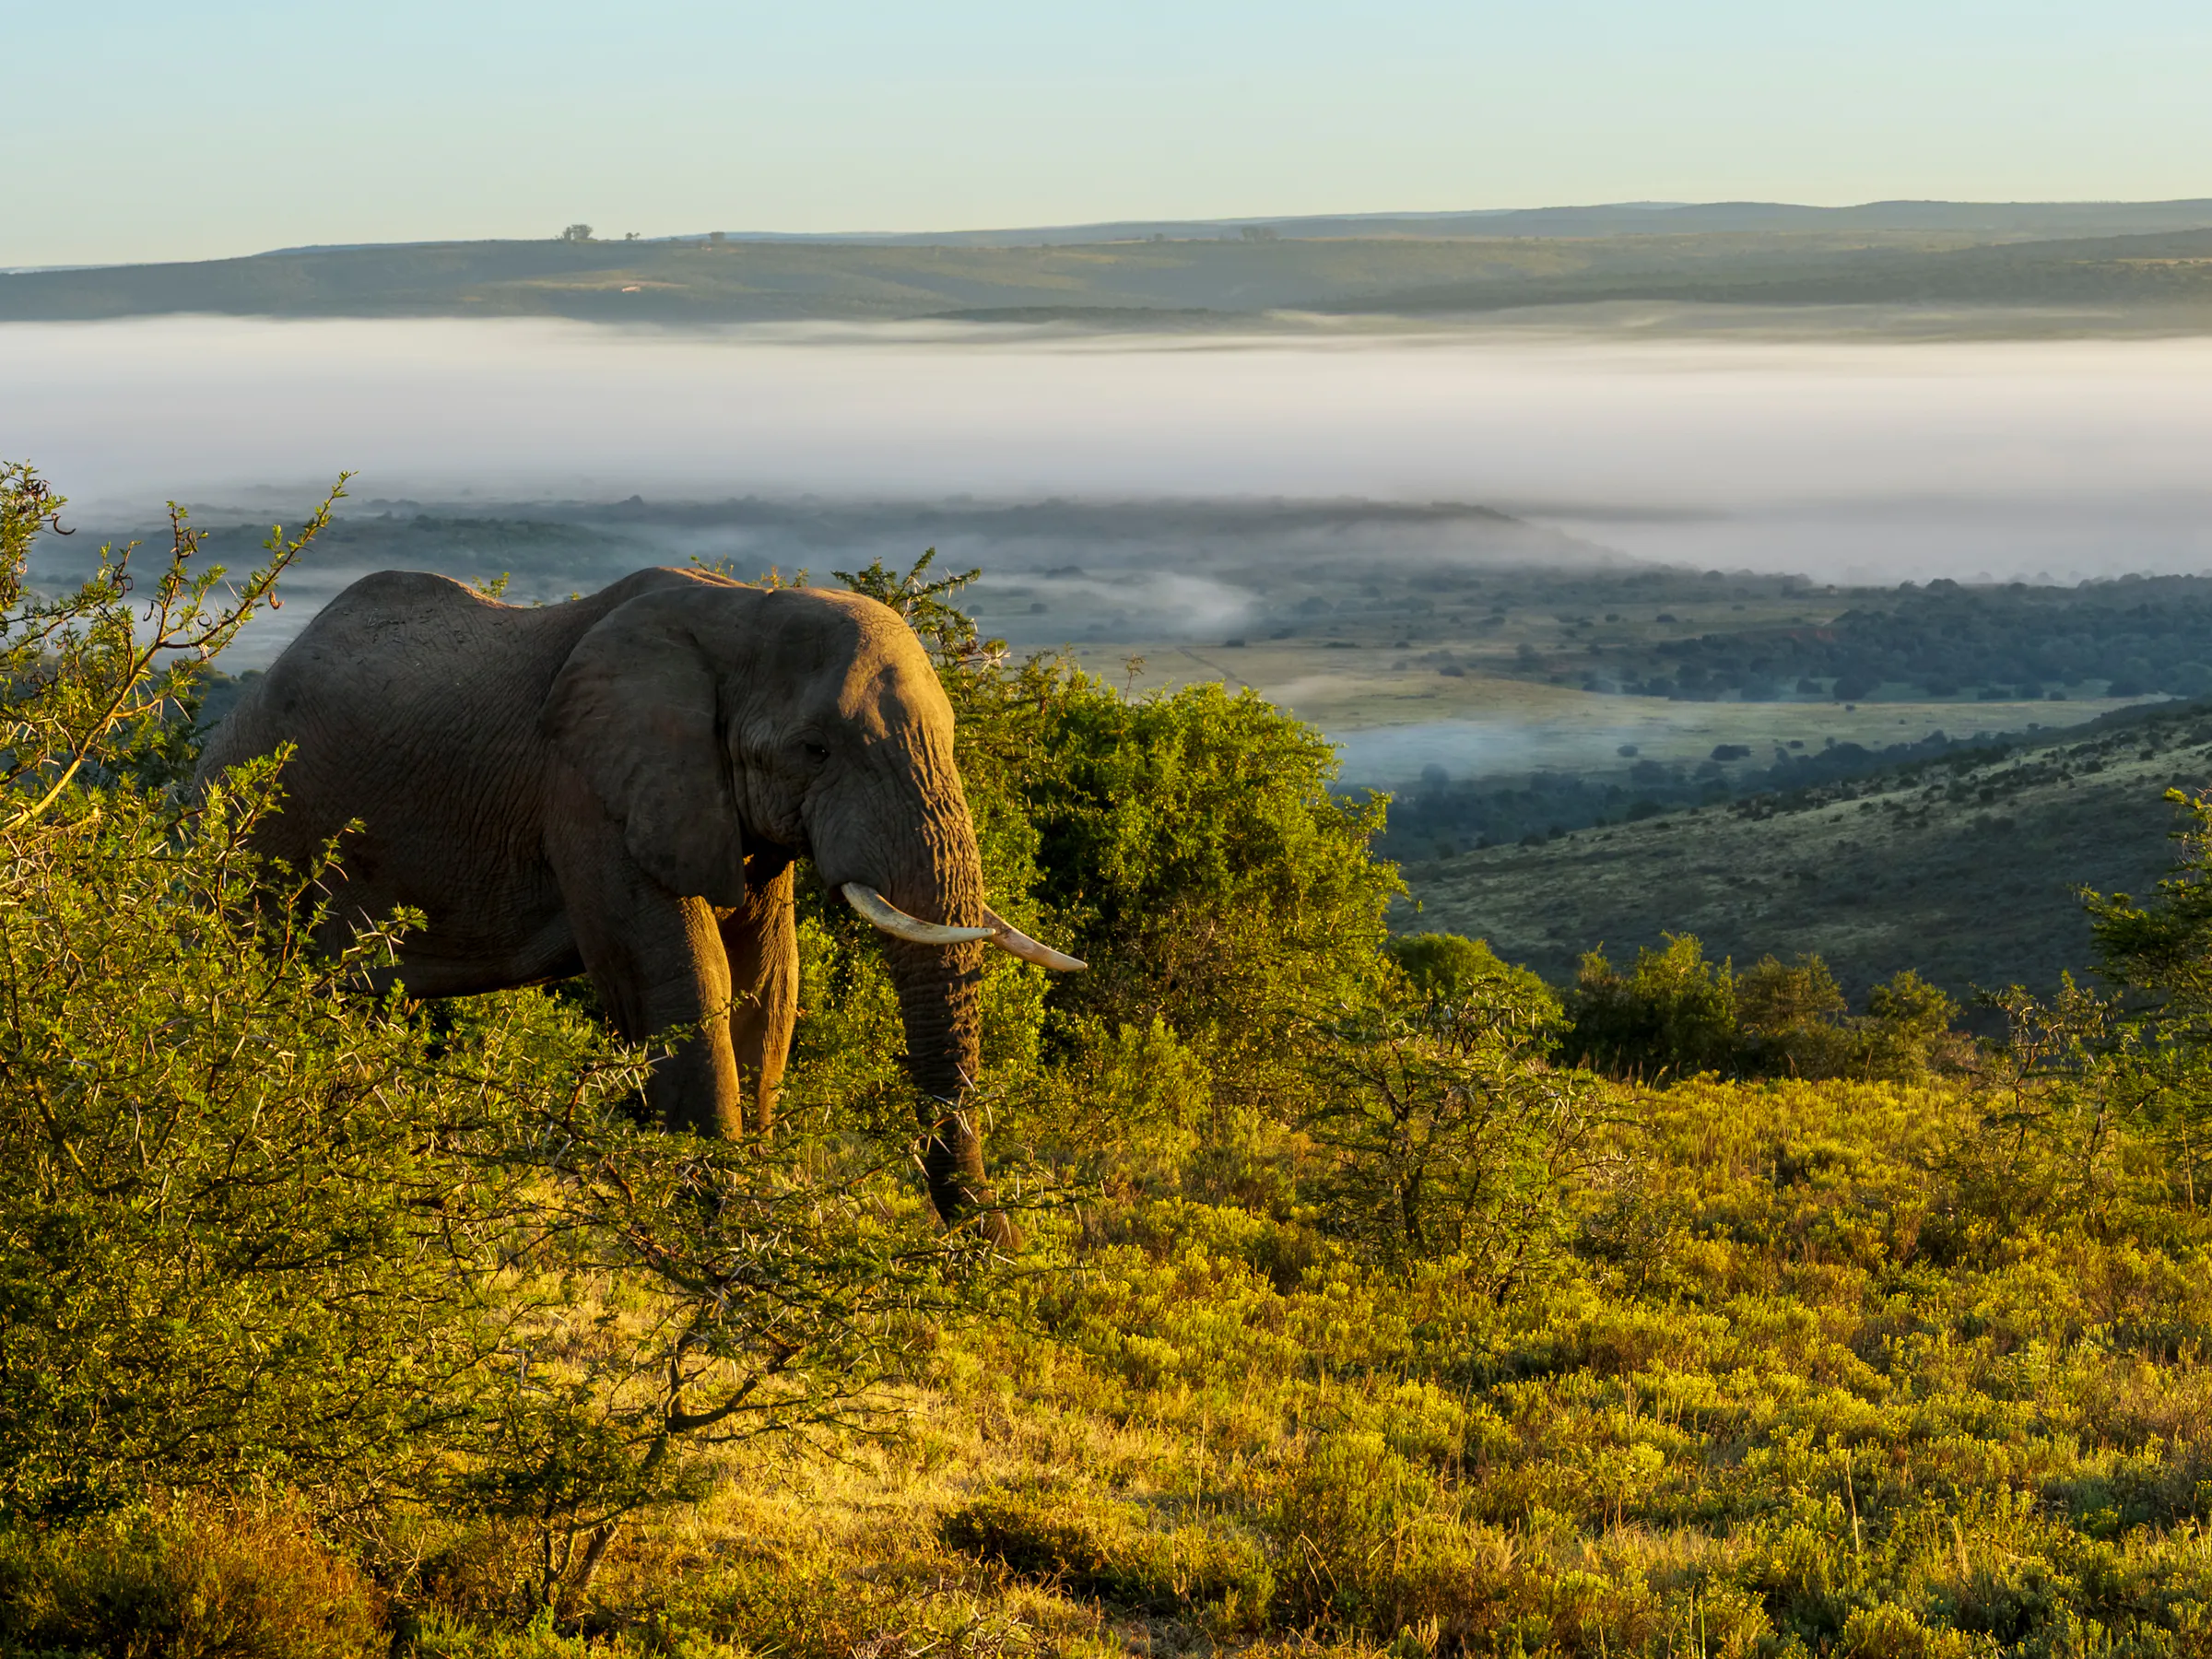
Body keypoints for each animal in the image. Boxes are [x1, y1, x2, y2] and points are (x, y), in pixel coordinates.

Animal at [194, 566, 1082, 1233]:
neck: (741, 607)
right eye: (816, 750)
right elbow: (680, 982)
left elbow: (768, 985)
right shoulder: (588, 790)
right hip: (257, 827)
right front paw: (720, 1232)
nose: (997, 1257)